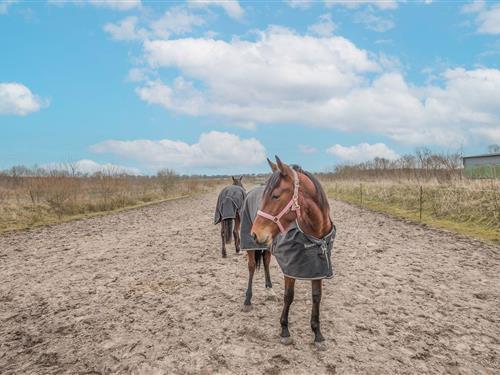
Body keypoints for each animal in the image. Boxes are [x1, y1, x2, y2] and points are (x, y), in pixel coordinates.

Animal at [252, 157, 334, 348]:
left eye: (275, 195)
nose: (255, 233)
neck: (313, 234)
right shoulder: (290, 268)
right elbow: (289, 296)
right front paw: (284, 330)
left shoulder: (318, 268)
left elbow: (316, 297)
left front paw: (317, 334)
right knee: (251, 268)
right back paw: (247, 300)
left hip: (267, 247)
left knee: (266, 262)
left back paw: (269, 290)